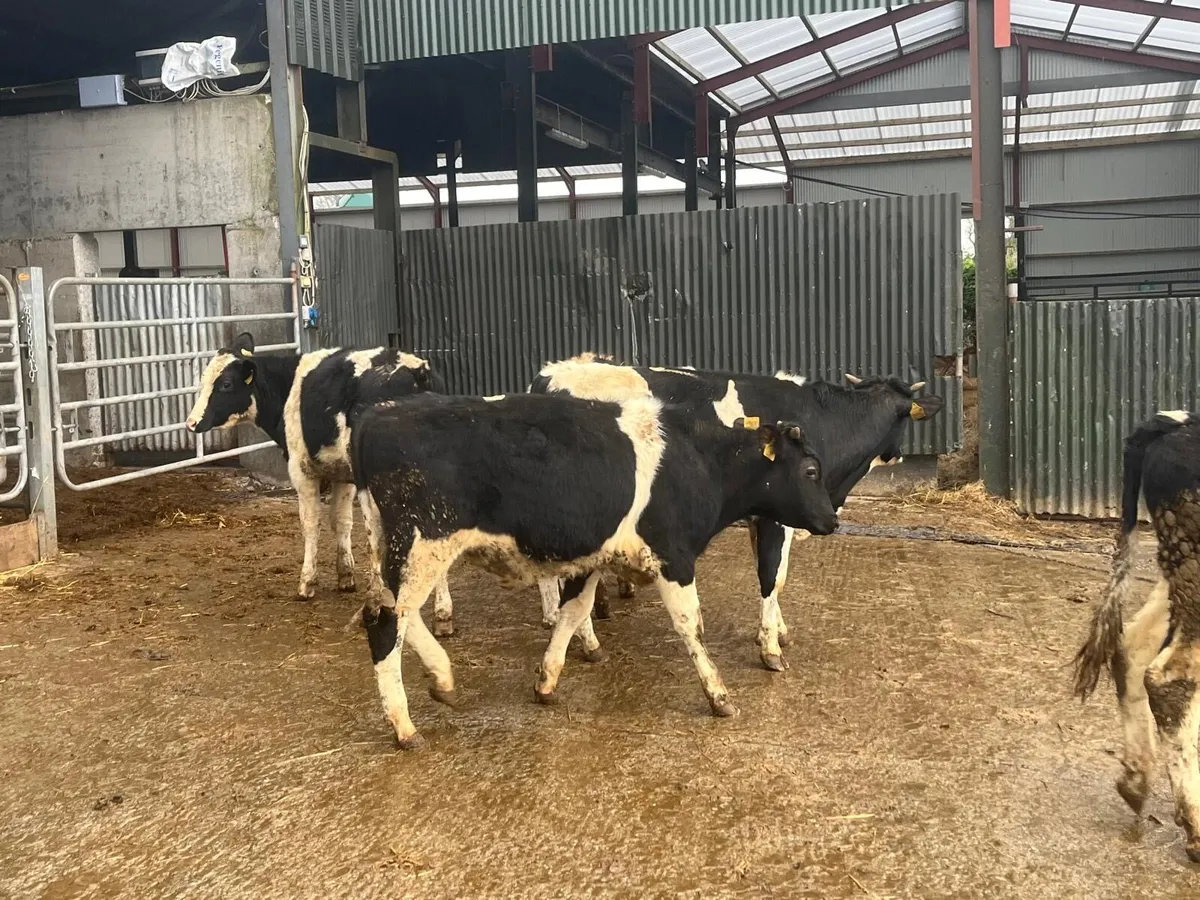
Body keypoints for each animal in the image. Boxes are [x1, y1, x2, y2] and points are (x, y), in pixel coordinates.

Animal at [184, 332, 454, 628]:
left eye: (226, 384)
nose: (191, 422)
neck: (287, 387)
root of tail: (417, 371)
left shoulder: (301, 469)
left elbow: (311, 523)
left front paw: (307, 583)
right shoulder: (341, 474)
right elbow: (341, 521)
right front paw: (345, 576)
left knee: (376, 534)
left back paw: (375, 604)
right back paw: (442, 612)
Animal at [349, 390, 838, 748]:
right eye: (811, 469)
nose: (832, 520)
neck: (699, 460)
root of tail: (380, 414)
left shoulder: (591, 560)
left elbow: (571, 614)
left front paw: (547, 682)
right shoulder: (673, 557)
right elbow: (690, 627)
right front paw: (719, 695)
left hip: (399, 551)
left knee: (398, 617)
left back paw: (442, 677)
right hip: (421, 547)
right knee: (385, 623)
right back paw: (404, 726)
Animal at [429, 356, 945, 670]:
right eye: (905, 416)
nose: (899, 454)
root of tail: (553, 374)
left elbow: (775, 578)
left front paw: (778, 630)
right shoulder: (776, 516)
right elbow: (771, 577)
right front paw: (770, 647)